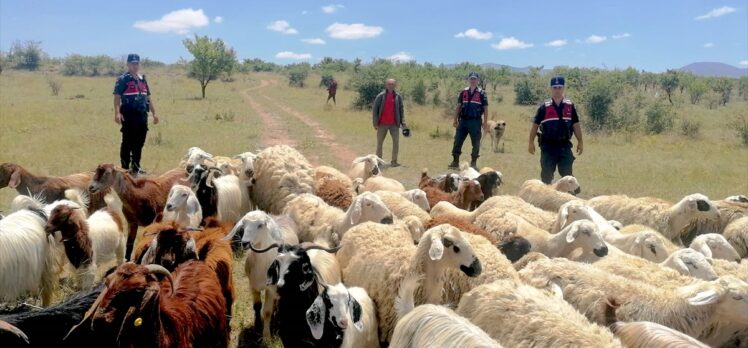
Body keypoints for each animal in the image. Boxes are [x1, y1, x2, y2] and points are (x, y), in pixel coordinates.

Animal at [222, 209, 300, 340]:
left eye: (261, 225)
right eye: (244, 225)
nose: (245, 243)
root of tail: (281, 215)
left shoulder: (270, 288)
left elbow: (267, 312)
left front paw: (266, 337)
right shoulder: (253, 285)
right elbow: (257, 307)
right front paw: (257, 325)